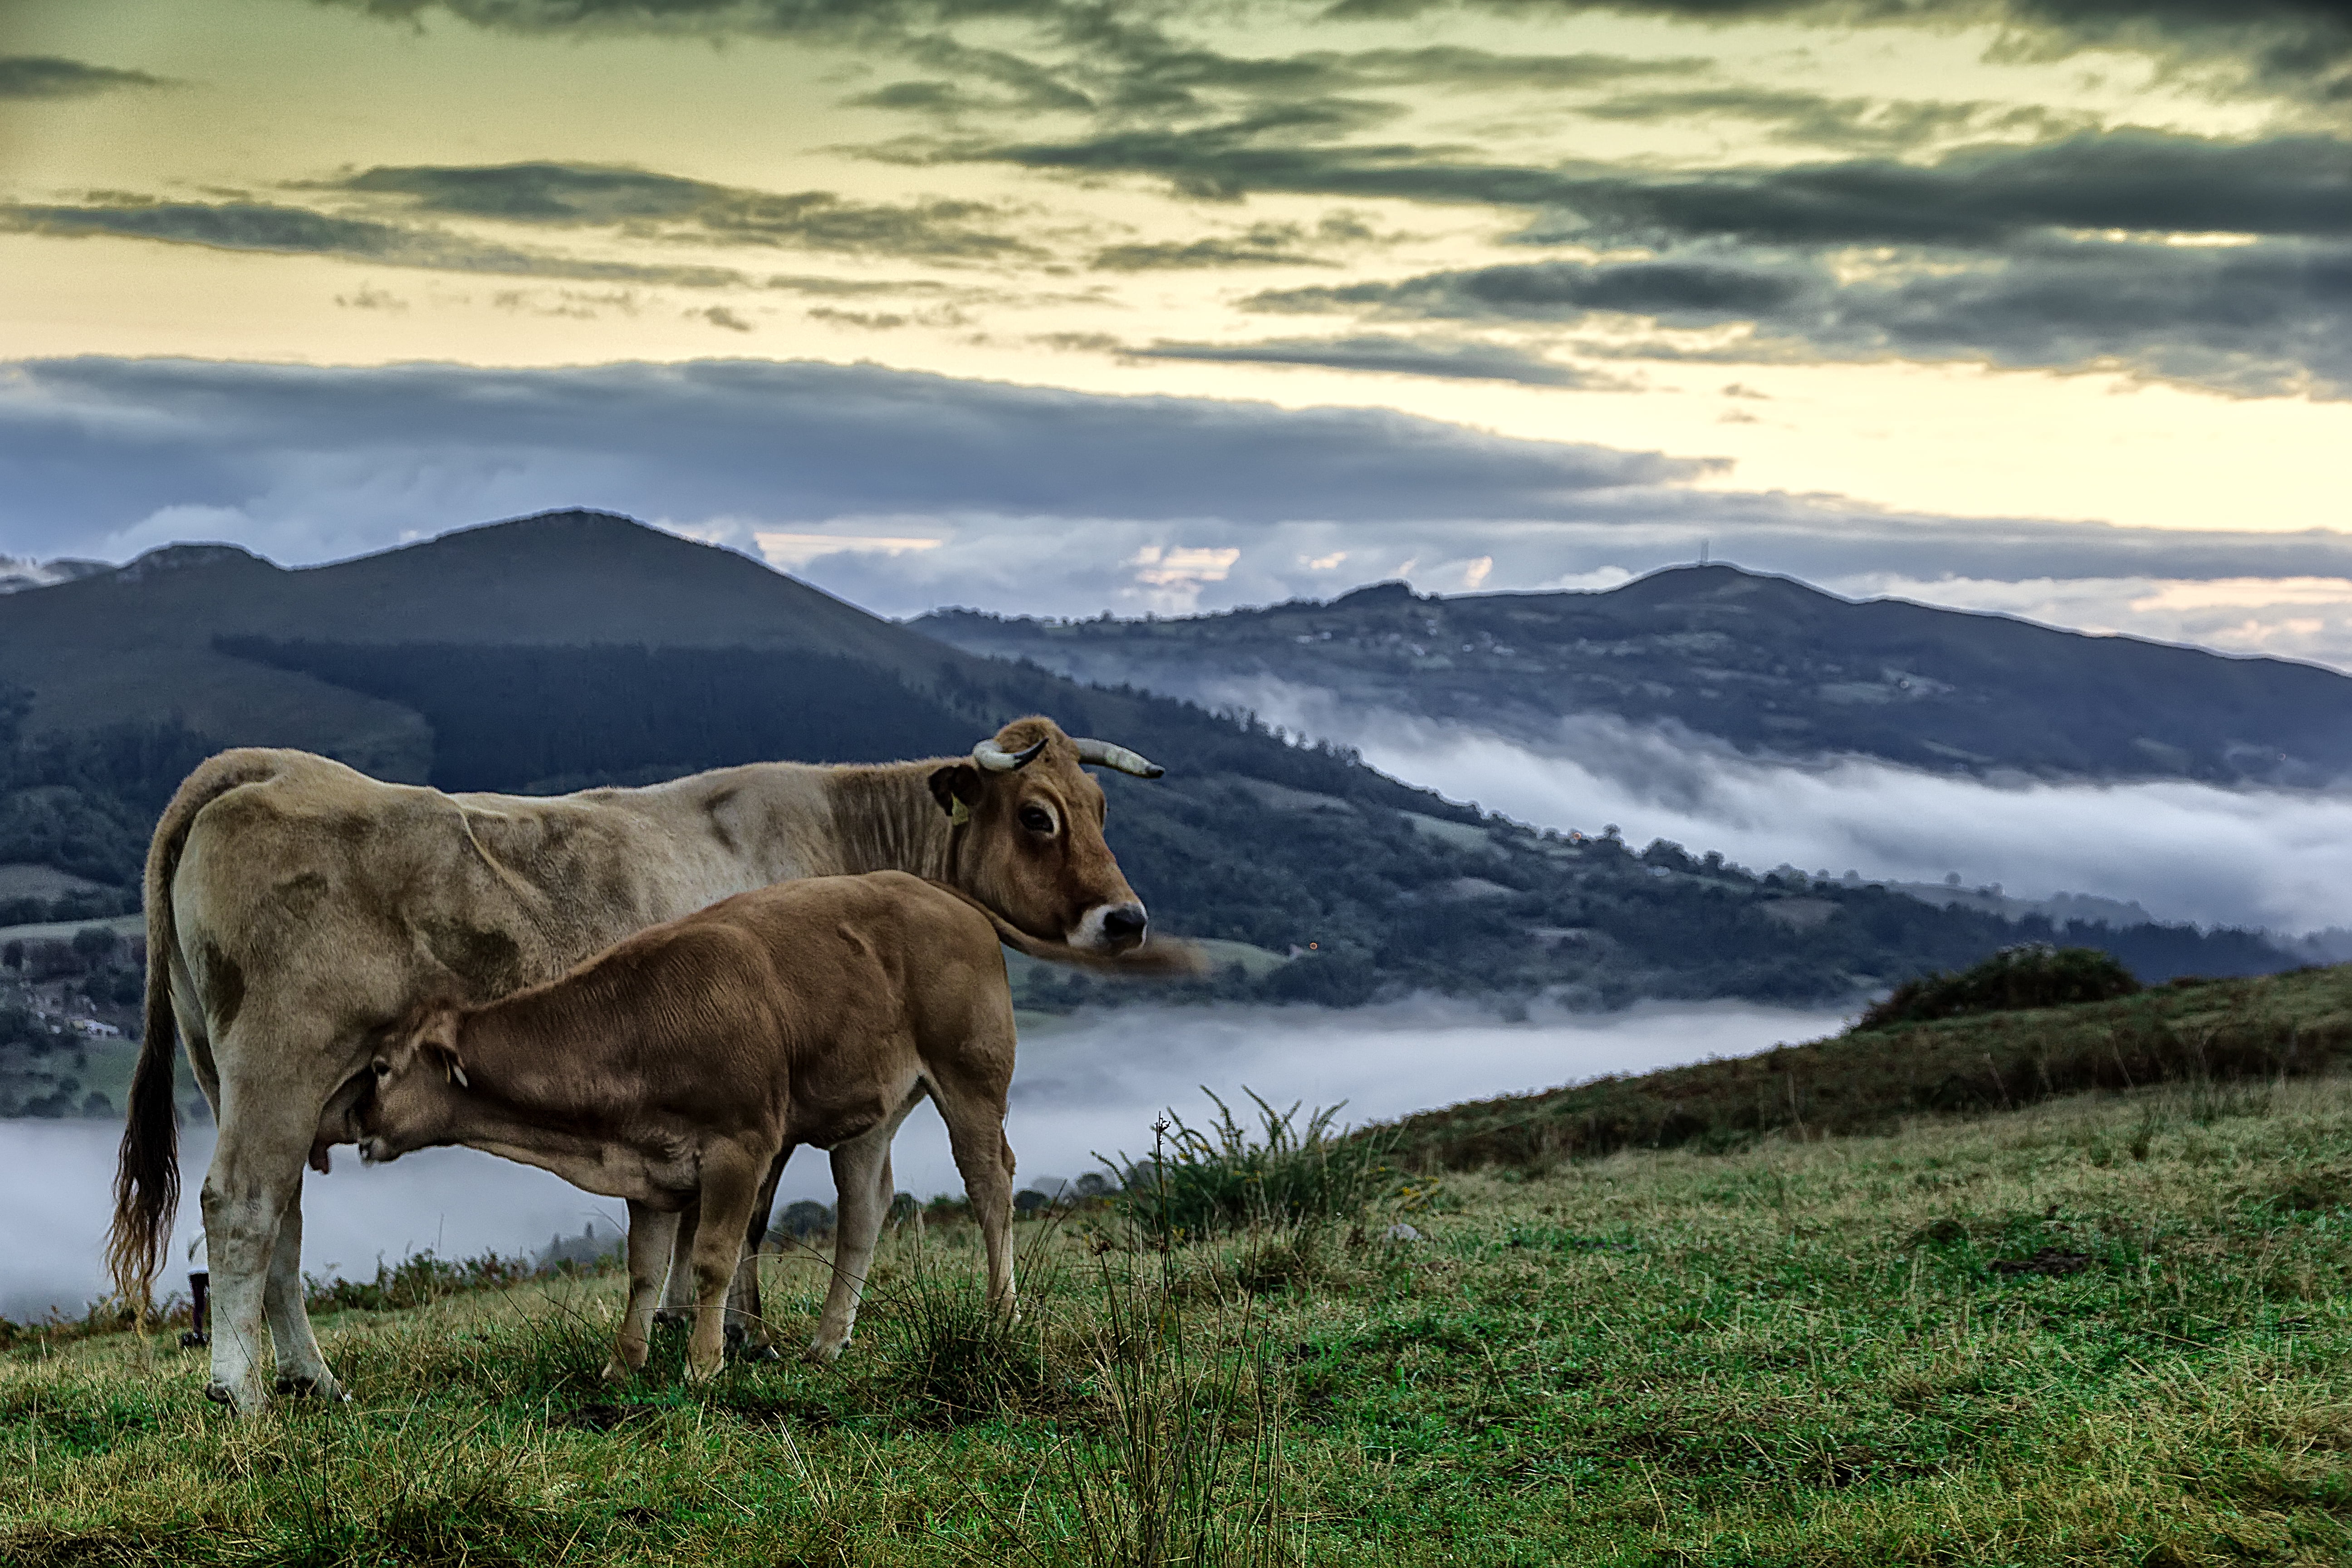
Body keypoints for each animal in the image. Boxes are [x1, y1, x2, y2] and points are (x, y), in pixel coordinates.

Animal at [356, 871, 1032, 1384]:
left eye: (382, 1067)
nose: (358, 1127)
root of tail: (944, 897)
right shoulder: (648, 1166)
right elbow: (643, 1269)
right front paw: (624, 1364)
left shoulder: (741, 1148)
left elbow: (713, 1257)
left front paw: (704, 1364)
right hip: (872, 1109)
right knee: (864, 1207)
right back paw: (828, 1341)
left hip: (970, 1076)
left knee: (989, 1184)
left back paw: (1001, 1314)